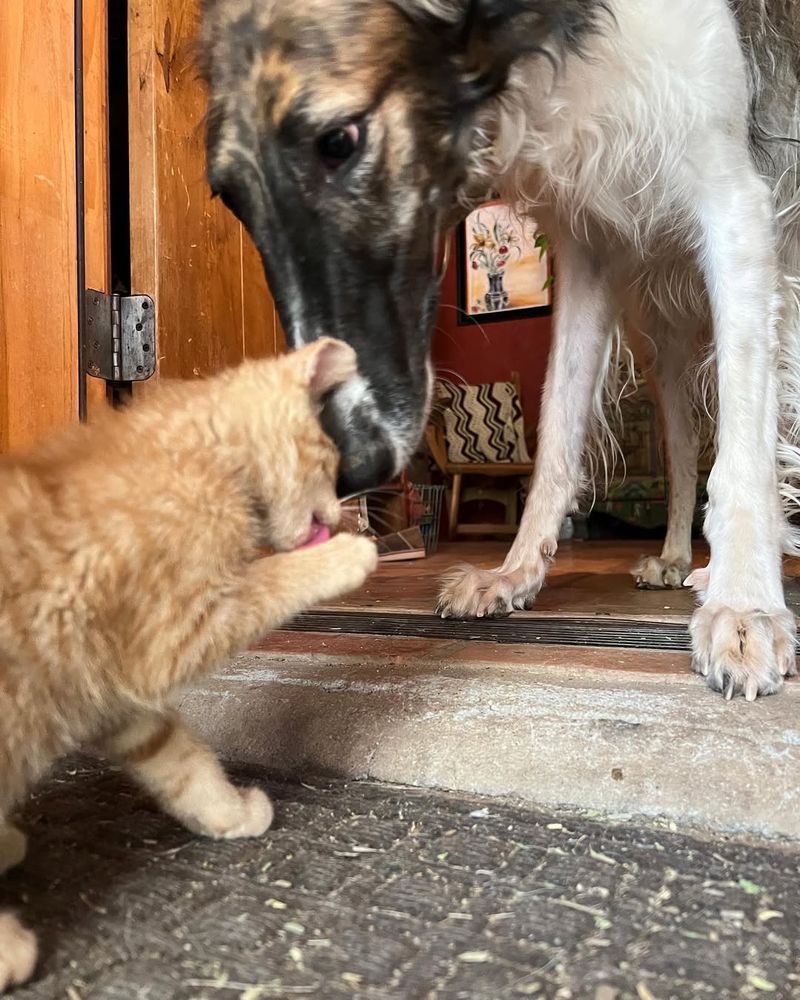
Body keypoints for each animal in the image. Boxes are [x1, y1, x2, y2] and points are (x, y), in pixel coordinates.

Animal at [0, 338, 378, 992]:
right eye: (330, 462)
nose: (337, 517)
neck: (204, 452)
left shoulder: (115, 693)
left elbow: (183, 761)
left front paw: (228, 813)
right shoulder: (172, 636)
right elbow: (269, 580)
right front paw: (343, 557)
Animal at [200, 0, 800, 700]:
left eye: (340, 141)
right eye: (228, 196)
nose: (340, 472)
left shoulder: (736, 204)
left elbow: (745, 453)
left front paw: (746, 604)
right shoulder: (591, 248)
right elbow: (558, 433)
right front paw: (514, 575)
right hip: (664, 339)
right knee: (682, 447)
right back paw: (678, 559)